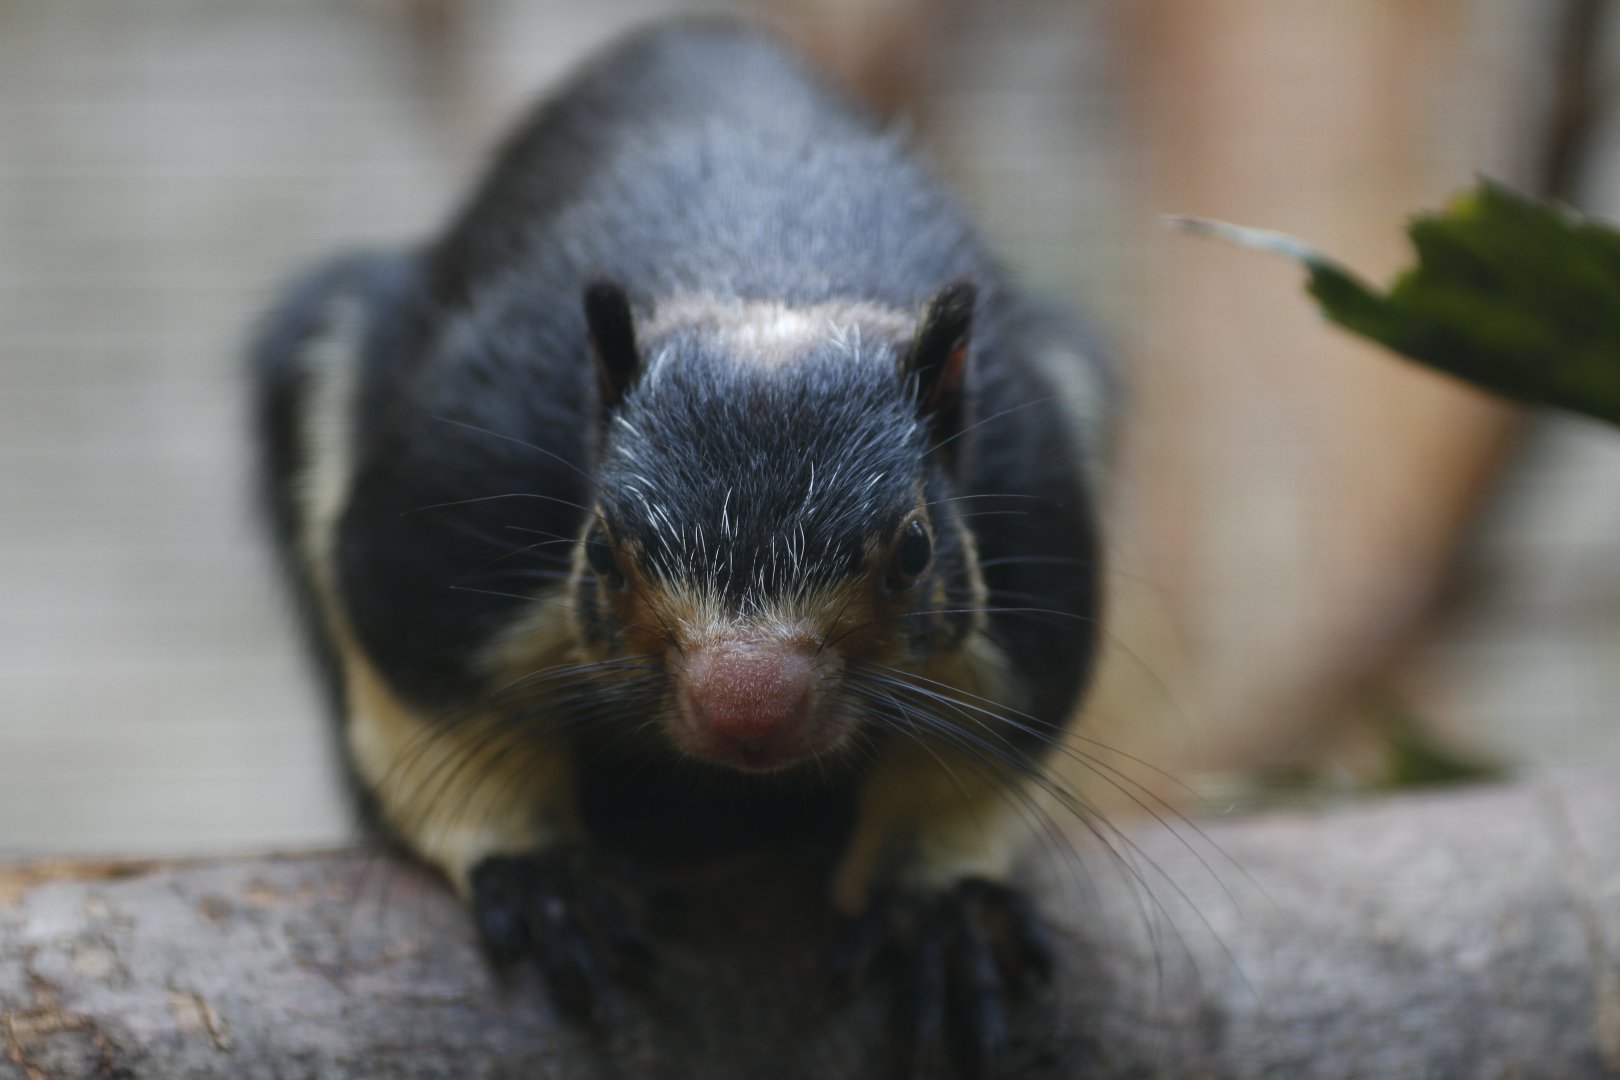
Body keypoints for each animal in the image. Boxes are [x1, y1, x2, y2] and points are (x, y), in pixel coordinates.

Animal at [251, 18, 1111, 1077]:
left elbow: (985, 747)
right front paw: (545, 876)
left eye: (913, 550)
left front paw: (938, 909)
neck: (769, 281)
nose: (747, 707)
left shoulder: (1038, 514)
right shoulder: (452, 500)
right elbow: (424, 694)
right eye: (604, 551)